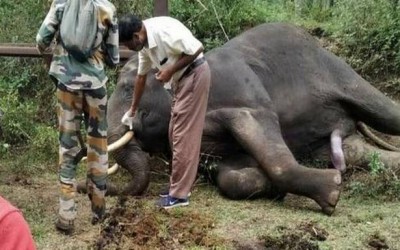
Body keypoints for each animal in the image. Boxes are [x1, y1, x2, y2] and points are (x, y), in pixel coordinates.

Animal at [104, 22, 400, 216]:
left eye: (128, 88)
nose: (110, 193)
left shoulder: (242, 94)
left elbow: (263, 129)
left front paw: (332, 191)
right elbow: (229, 174)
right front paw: (274, 189)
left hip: (339, 71)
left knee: (386, 113)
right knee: (356, 152)